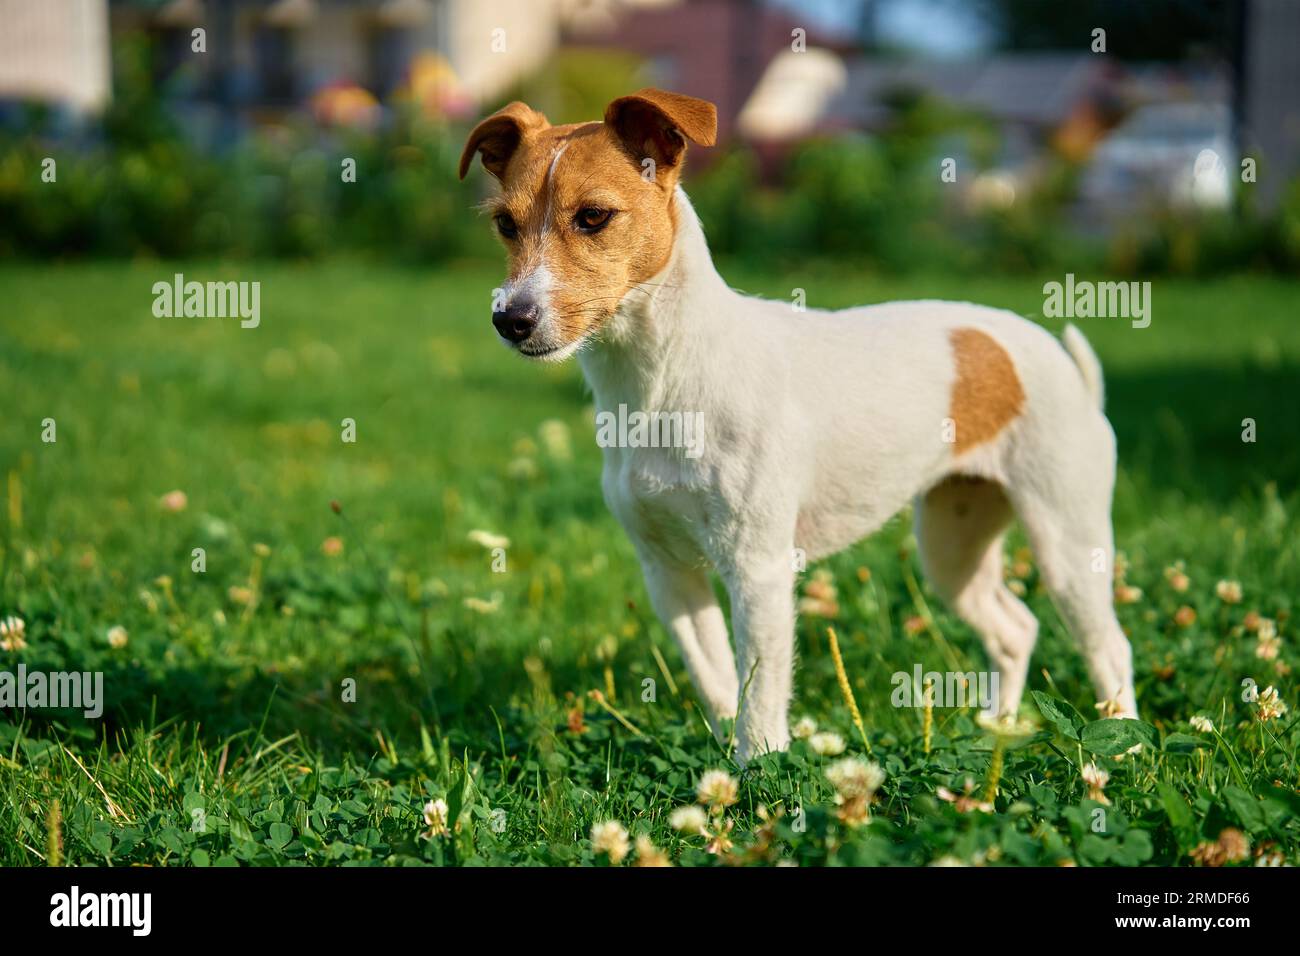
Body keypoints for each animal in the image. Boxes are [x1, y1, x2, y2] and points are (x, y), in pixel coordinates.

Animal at [460, 87, 1138, 764]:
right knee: (1015, 629)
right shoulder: (669, 573)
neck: (661, 384)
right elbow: (718, 684)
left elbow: (760, 699)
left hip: (1066, 544)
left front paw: (760, 777)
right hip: (953, 547)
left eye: (594, 217)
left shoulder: (757, 568)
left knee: (1110, 645)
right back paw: (997, 728)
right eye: (504, 225)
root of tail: (1061, 362)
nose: (510, 319)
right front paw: (724, 772)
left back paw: (1122, 751)